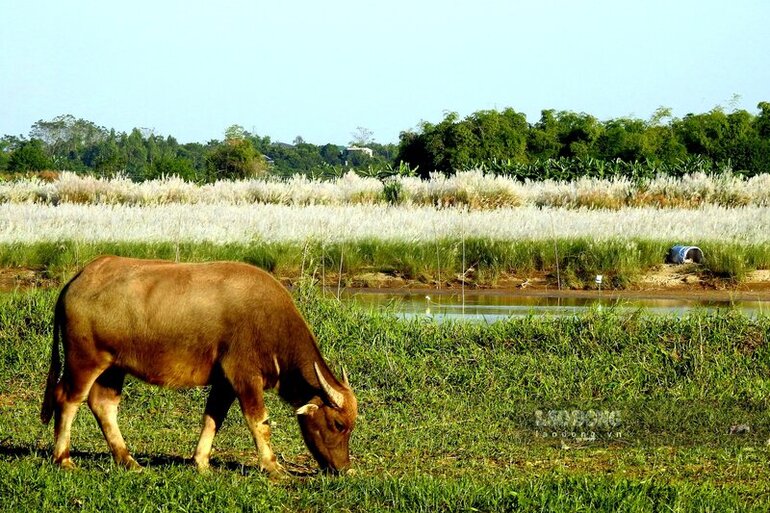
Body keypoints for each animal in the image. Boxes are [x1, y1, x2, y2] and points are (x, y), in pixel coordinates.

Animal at [39, 254, 356, 474]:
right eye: (338, 424)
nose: (343, 468)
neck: (272, 324)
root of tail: (79, 279)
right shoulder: (244, 376)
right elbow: (259, 422)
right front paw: (273, 467)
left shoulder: (225, 382)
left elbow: (213, 418)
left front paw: (201, 462)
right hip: (84, 360)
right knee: (67, 399)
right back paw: (63, 458)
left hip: (113, 367)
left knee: (103, 404)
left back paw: (128, 460)